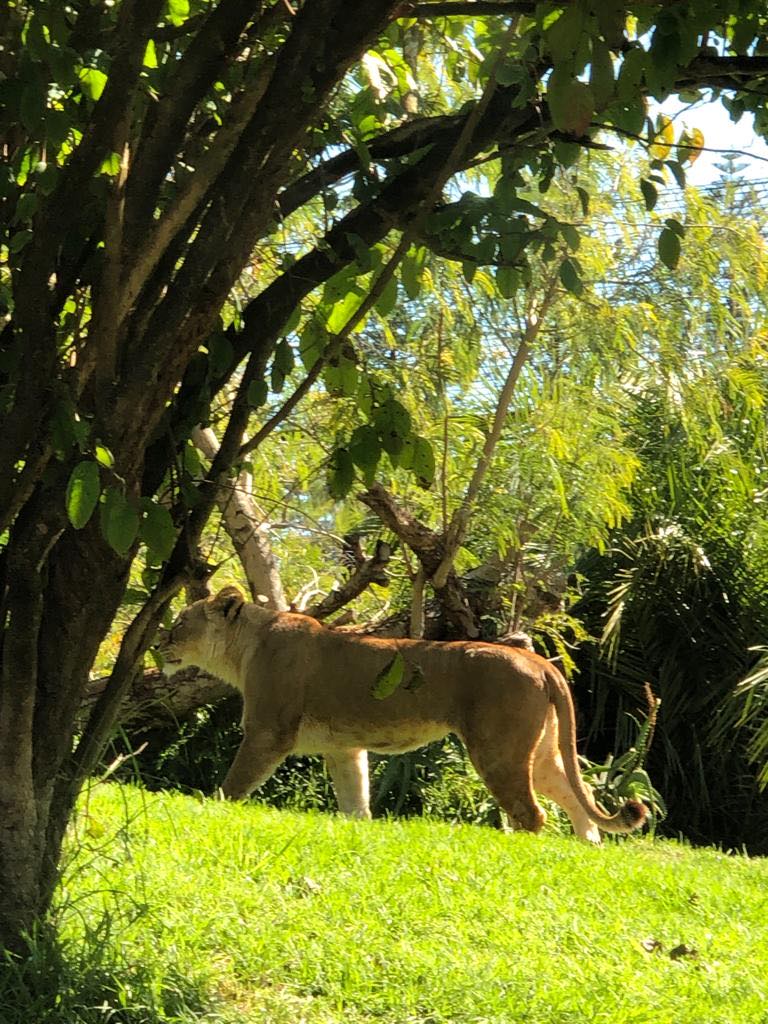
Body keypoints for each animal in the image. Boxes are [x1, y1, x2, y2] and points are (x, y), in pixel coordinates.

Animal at [157, 587, 647, 842]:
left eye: (180, 623)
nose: (158, 645)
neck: (244, 650)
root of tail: (540, 661)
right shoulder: (345, 748)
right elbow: (355, 799)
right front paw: (358, 829)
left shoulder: (267, 730)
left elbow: (234, 784)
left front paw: (212, 808)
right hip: (540, 753)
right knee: (577, 797)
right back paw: (584, 849)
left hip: (498, 748)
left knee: (531, 813)